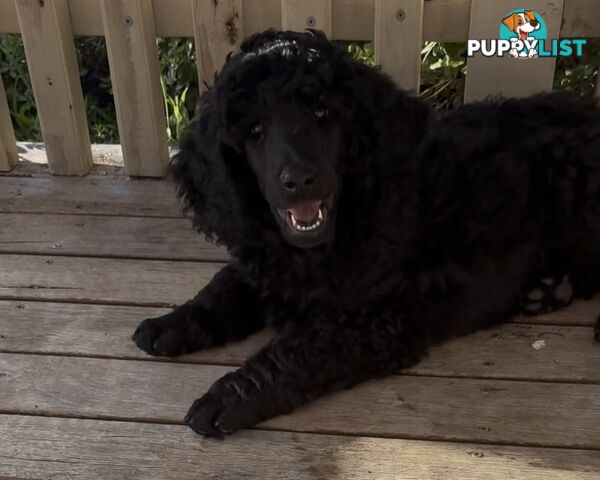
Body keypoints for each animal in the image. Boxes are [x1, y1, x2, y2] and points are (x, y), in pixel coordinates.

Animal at [135, 29, 600, 436]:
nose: (299, 180)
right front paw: (172, 322)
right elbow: (225, 284)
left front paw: (228, 397)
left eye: (323, 113)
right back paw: (547, 292)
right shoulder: (263, 261)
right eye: (254, 131)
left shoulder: (376, 318)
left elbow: (293, 353)